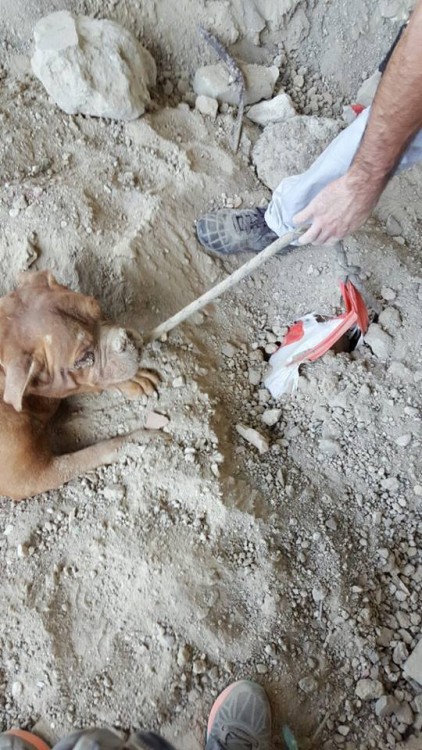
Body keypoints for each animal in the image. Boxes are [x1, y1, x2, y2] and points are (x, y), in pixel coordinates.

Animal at [0, 272, 162, 506]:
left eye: (98, 307)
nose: (126, 339)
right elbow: (93, 452)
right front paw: (138, 440)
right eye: (85, 357)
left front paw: (132, 379)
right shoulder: (30, 477)